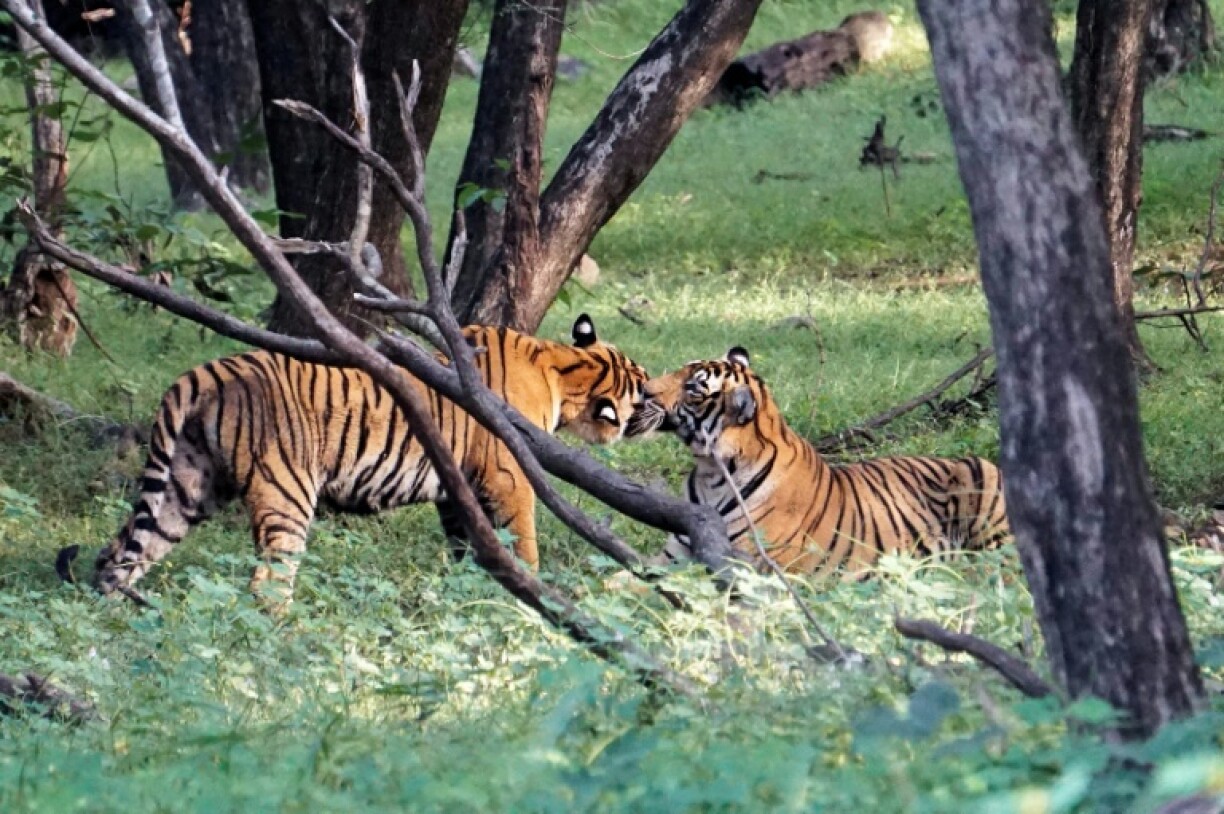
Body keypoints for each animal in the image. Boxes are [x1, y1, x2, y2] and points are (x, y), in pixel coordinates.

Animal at [92, 314, 647, 605]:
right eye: (642, 387)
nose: (659, 408)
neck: (562, 368)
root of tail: (206, 373)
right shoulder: (507, 476)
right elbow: (522, 539)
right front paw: (532, 592)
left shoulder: (456, 489)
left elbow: (468, 547)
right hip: (286, 491)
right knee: (268, 581)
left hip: (184, 486)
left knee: (121, 551)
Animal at [625, 347, 1009, 576]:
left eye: (693, 388)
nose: (644, 390)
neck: (711, 472)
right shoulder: (671, 557)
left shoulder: (751, 568)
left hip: (982, 479)